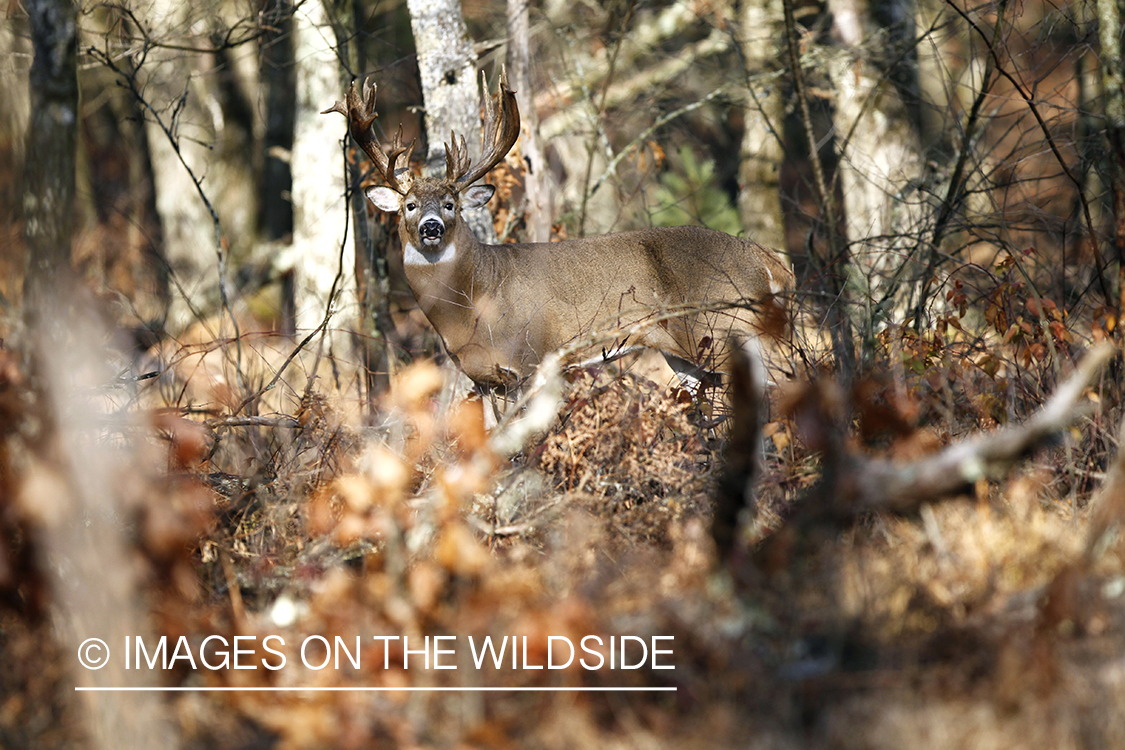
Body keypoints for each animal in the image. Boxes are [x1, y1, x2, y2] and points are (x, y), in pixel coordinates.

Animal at [328, 70, 792, 416]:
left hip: (732, 326)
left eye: (450, 204)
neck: (474, 301)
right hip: (686, 349)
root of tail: (768, 259)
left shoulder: (531, 360)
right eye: (408, 205)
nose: (430, 227)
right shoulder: (486, 379)